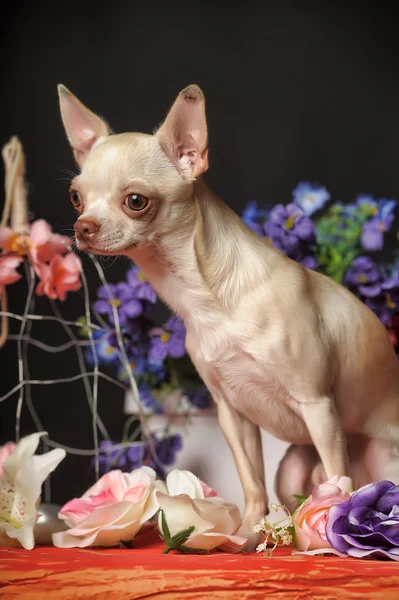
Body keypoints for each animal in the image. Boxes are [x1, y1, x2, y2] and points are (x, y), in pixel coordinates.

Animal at [59, 83, 399, 540]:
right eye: (76, 197)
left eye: (135, 201)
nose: (83, 227)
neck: (205, 296)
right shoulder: (232, 414)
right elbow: (251, 479)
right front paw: (250, 530)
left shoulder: (318, 405)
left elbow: (337, 478)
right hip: (292, 468)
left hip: (379, 455)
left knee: (350, 482)